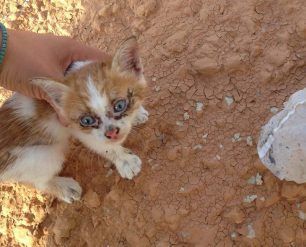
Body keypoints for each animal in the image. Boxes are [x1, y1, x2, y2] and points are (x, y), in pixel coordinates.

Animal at [0, 36, 149, 203]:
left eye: (120, 105)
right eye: (87, 121)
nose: (111, 133)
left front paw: (138, 114)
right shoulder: (78, 129)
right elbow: (105, 147)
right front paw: (125, 161)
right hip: (41, 155)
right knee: (37, 182)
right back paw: (65, 188)